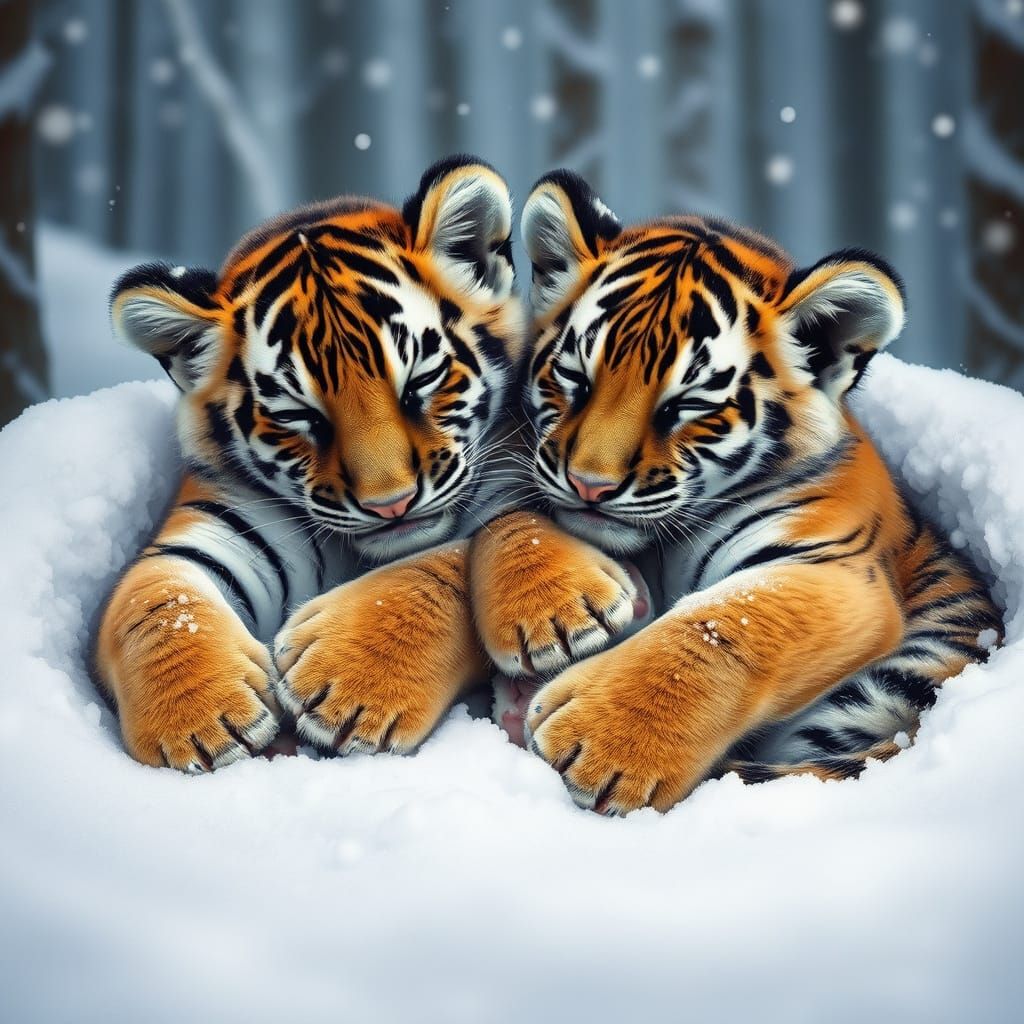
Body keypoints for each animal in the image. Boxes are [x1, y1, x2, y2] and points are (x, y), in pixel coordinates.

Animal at [96, 155, 525, 771]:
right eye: (300, 415)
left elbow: (439, 567)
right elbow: (158, 604)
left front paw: (352, 683)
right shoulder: (204, 538)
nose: (391, 504)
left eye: (420, 382)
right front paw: (200, 719)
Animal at [469, 169, 1002, 814]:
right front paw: (549, 614)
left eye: (687, 406)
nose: (589, 485)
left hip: (896, 683)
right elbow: (513, 515)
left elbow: (726, 623)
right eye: (574, 378)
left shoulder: (837, 569)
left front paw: (602, 743)